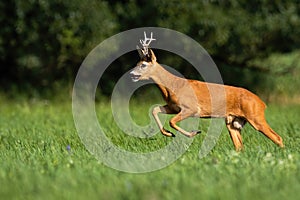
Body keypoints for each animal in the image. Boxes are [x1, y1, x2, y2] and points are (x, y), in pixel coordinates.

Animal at [129, 31, 284, 151]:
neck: (173, 86)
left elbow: (172, 121)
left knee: (277, 137)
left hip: (255, 116)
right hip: (233, 121)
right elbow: (154, 109)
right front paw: (168, 133)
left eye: (143, 65)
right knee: (239, 146)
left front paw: (193, 133)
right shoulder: (173, 106)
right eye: (137, 63)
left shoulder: (191, 108)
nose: (131, 74)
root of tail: (262, 103)